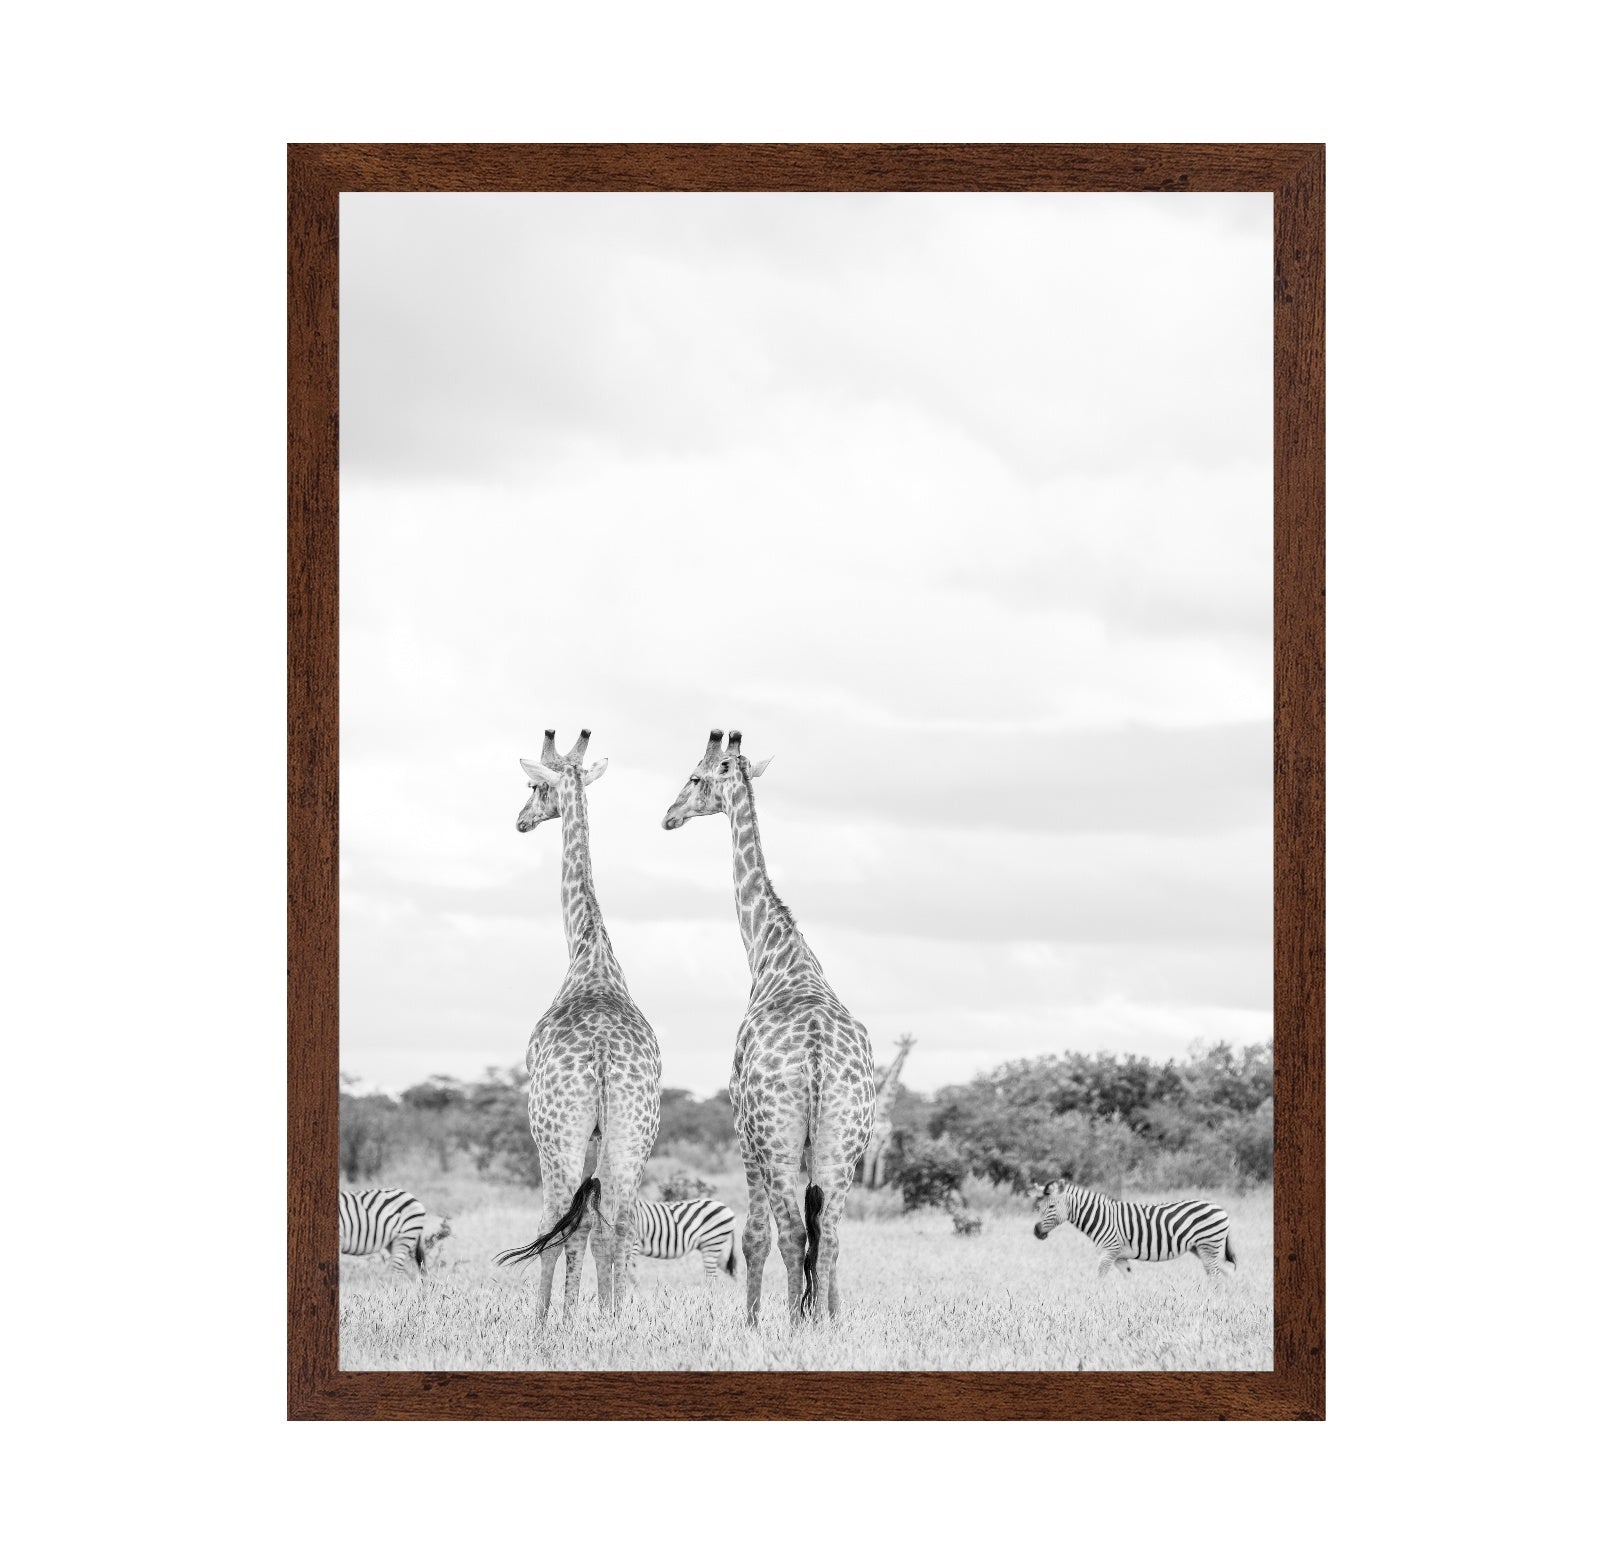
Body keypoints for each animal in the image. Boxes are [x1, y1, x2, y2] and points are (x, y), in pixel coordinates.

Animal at [494, 728, 662, 1324]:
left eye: (533, 787)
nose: (520, 820)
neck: (590, 955)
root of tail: (605, 1059)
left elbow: (565, 1225)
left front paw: (555, 1320)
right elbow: (593, 1223)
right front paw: (585, 1314)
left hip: (556, 1134)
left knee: (554, 1221)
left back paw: (546, 1323)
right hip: (634, 1134)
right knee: (620, 1221)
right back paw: (615, 1320)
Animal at [662, 729, 876, 1326]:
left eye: (694, 776)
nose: (668, 816)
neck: (773, 953)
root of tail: (817, 1057)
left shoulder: (742, 1129)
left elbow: (756, 1235)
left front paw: (754, 1321)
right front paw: (822, 1314)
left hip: (776, 1141)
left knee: (791, 1233)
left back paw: (794, 1323)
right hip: (845, 1142)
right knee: (829, 1234)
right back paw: (824, 1322)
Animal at [862, 1033, 915, 1190]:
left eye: (910, 1044)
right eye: (902, 1044)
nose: (906, 1052)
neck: (883, 1113)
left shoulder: (886, 1141)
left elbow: (881, 1162)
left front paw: (878, 1186)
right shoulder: (874, 1141)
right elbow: (871, 1160)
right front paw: (867, 1185)